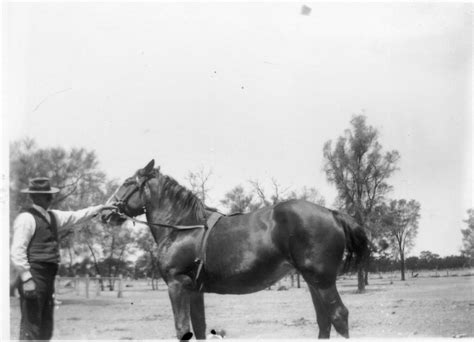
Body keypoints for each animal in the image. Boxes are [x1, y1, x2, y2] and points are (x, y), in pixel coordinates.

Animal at [103, 161, 370, 340]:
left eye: (127, 183)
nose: (105, 213)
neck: (183, 227)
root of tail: (332, 213)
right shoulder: (194, 290)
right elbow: (199, 328)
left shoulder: (176, 286)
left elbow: (182, 330)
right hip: (313, 281)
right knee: (324, 320)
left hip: (322, 281)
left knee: (338, 316)